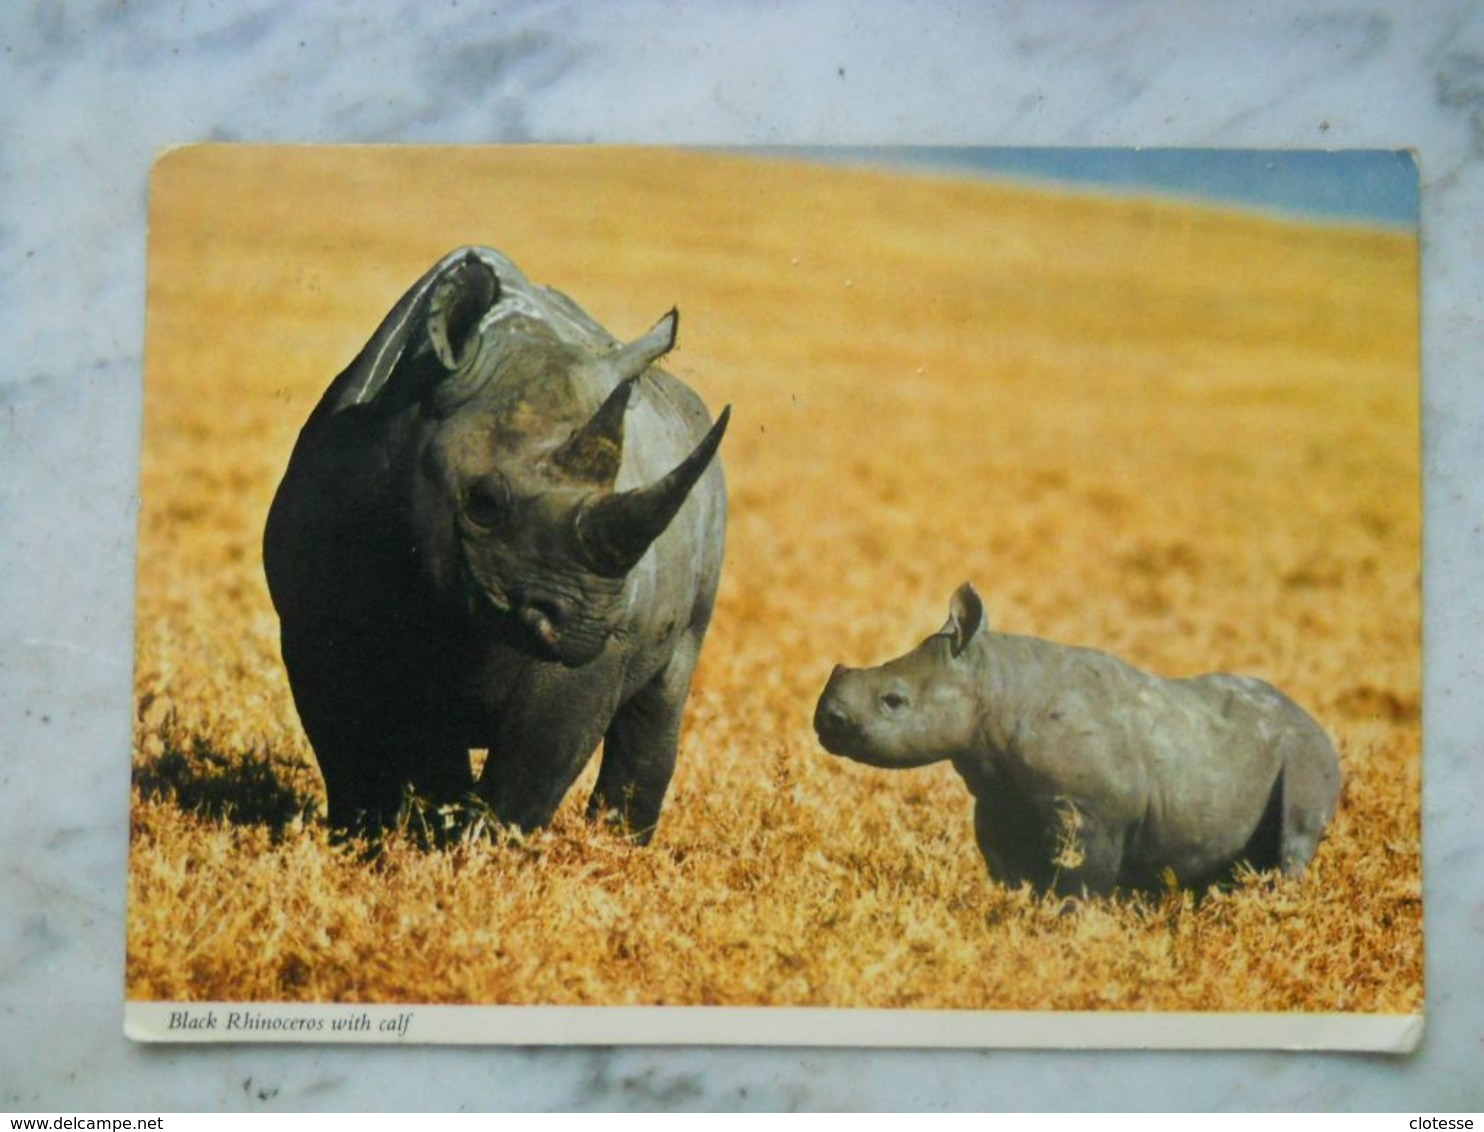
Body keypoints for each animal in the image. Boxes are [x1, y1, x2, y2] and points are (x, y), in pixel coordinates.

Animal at [270, 247, 733, 842]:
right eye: (483, 503)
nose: (587, 624)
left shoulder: (586, 665)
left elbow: (531, 771)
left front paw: (483, 852)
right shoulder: (310, 622)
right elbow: (349, 747)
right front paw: (362, 841)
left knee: (664, 692)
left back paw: (617, 847)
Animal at [813, 584, 1347, 896]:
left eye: (893, 701)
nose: (825, 722)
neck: (994, 684)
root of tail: (1317, 720)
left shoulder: (1093, 810)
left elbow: (1081, 881)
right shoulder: (1000, 797)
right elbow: (1009, 869)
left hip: (1306, 753)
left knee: (1293, 840)